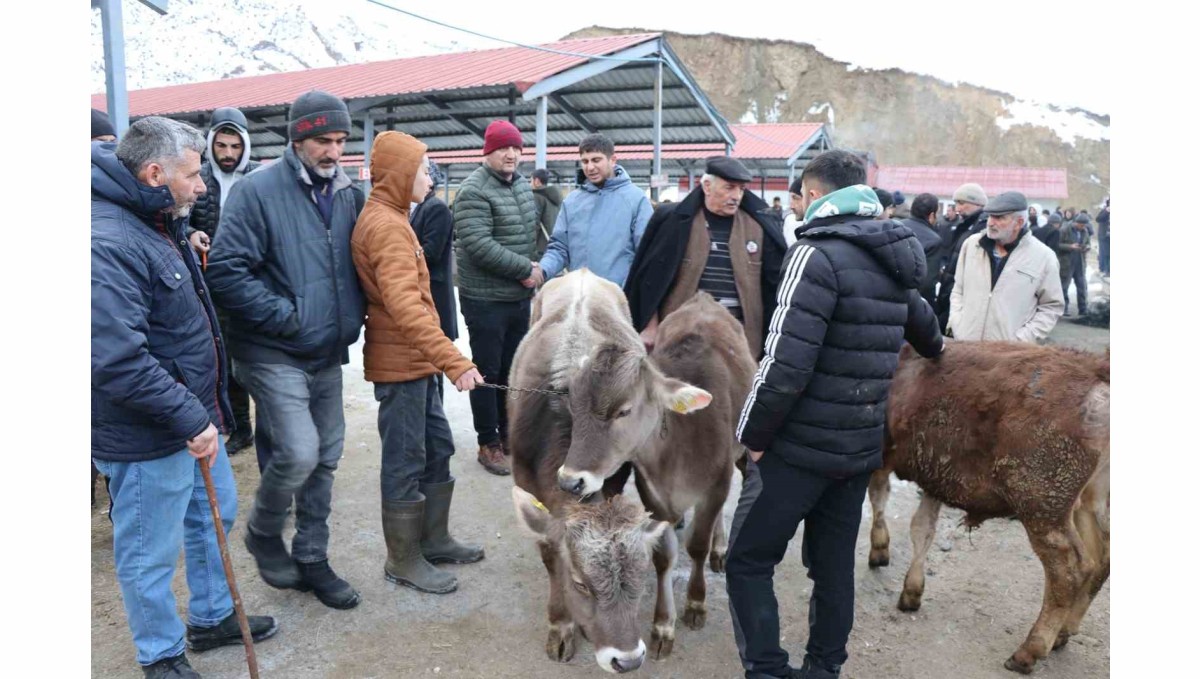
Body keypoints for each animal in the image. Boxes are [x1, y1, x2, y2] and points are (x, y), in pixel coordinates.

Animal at [868, 345, 1108, 676]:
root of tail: (1094, 370)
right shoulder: (934, 478)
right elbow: (922, 528)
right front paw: (912, 591)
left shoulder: (879, 456)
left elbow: (879, 500)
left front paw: (879, 551)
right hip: (1089, 504)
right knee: (1101, 560)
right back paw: (1063, 633)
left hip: (1042, 505)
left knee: (1070, 569)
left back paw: (1029, 651)